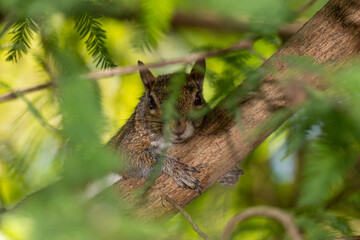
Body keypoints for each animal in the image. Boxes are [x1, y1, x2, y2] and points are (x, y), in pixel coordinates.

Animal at [108, 58, 243, 193]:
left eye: (198, 98)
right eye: (151, 102)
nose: (178, 129)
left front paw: (229, 175)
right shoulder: (130, 140)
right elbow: (127, 156)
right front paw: (176, 169)